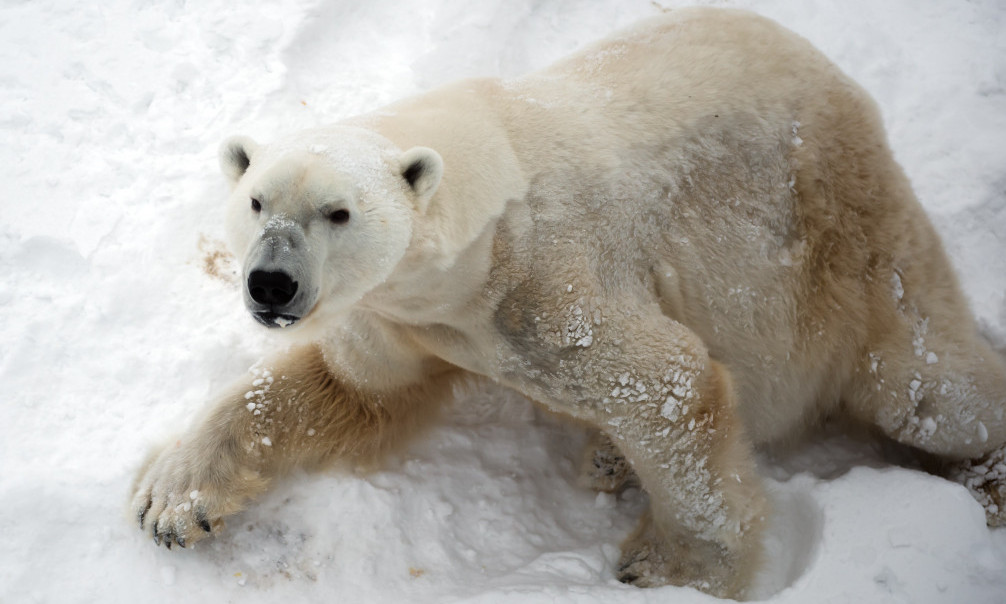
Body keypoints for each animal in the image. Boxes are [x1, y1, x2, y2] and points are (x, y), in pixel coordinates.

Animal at [129, 8, 1006, 599]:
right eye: (255, 201)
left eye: (336, 212)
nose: (270, 284)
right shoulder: (400, 319)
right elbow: (346, 389)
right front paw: (171, 501)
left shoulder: (553, 287)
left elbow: (671, 385)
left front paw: (669, 567)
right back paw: (608, 456)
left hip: (845, 242)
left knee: (927, 389)